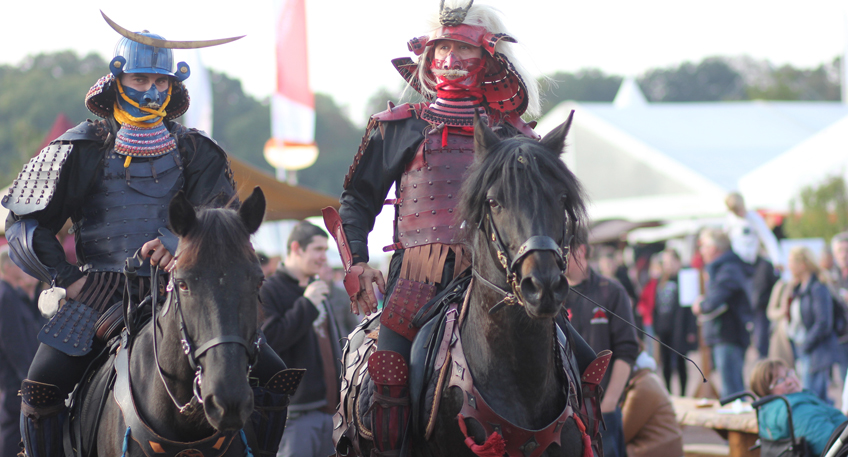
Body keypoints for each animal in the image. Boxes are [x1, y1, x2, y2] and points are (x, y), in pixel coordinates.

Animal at [332, 111, 596, 456]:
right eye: (494, 201)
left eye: (562, 198)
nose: (543, 286)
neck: (520, 380)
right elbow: (358, 197)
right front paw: (361, 276)